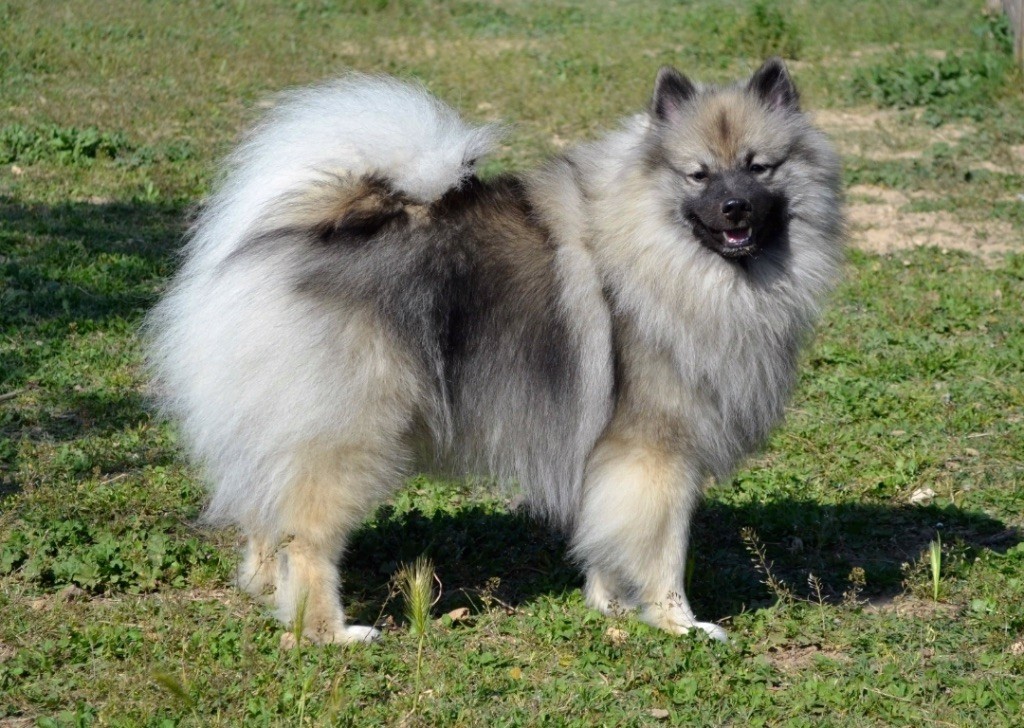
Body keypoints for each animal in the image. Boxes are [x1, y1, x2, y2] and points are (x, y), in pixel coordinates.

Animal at [148, 59, 843, 647]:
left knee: (267, 513)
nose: (734, 208)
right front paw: (680, 624)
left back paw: (266, 588)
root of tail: (290, 233)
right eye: (698, 174)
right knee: (308, 538)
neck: (664, 252)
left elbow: (608, 542)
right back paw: (330, 633)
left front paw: (612, 605)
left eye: (760, 168)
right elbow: (663, 549)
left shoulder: (612, 456)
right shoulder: (655, 450)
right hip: (352, 432)